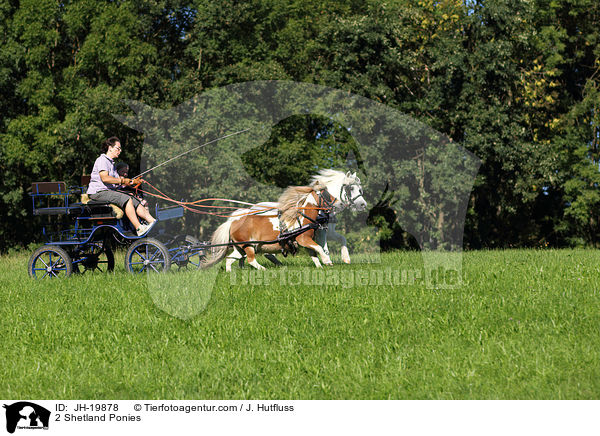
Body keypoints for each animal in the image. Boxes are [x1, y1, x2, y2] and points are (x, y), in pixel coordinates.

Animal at [203, 169, 366, 270]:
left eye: (360, 189)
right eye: (350, 188)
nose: (363, 205)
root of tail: (233, 221)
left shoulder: (323, 232)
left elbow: (324, 247)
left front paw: (332, 261)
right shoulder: (310, 236)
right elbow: (321, 247)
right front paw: (329, 260)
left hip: (243, 247)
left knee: (231, 259)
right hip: (250, 245)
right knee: (253, 258)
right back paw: (264, 268)